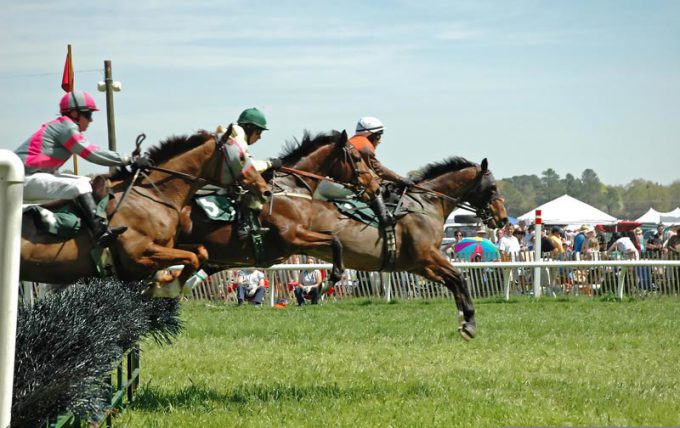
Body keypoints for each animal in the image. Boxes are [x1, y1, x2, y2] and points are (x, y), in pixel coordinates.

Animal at [19, 132, 268, 290]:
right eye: (242, 158)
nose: (265, 190)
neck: (154, 196)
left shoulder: (167, 247)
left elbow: (200, 252)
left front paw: (170, 281)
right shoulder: (138, 254)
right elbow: (191, 258)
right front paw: (170, 286)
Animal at [173, 130, 380, 288]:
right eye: (356, 158)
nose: (375, 187)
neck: (291, 188)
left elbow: (332, 237)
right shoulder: (293, 237)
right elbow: (335, 241)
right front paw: (330, 280)